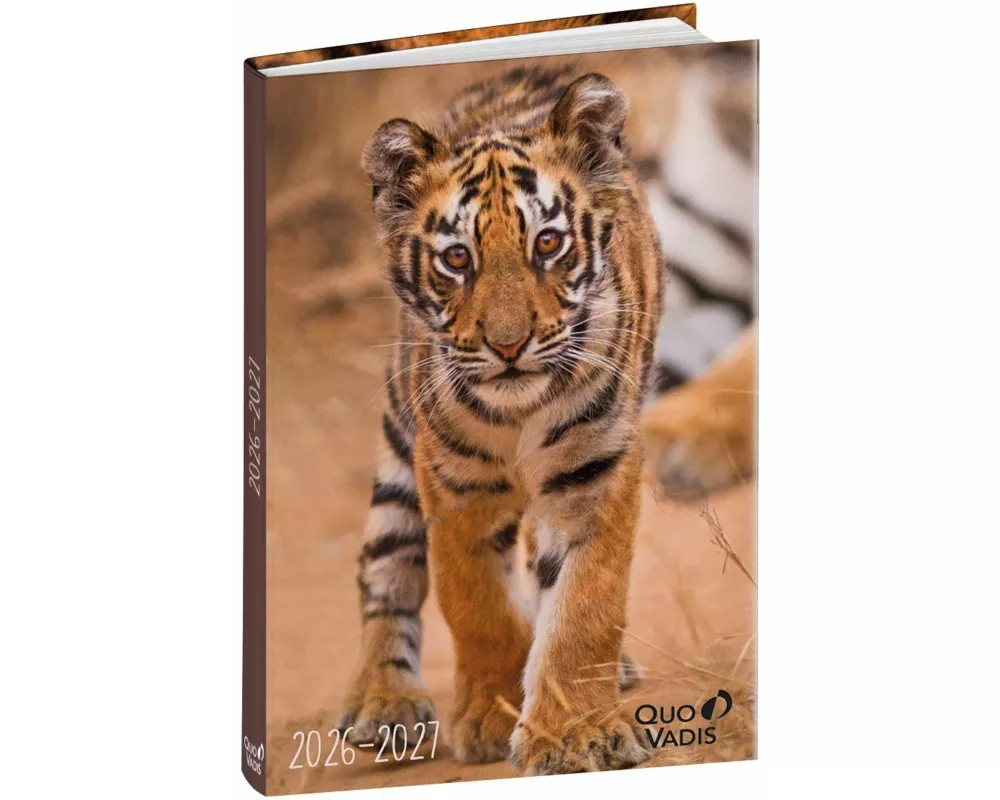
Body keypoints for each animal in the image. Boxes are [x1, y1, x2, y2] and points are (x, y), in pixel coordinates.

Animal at [336, 65, 663, 775]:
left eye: (549, 244)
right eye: (457, 258)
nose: (509, 345)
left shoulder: (597, 475)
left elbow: (586, 607)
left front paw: (572, 736)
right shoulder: (454, 487)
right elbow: (475, 603)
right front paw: (491, 716)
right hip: (400, 437)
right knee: (384, 564)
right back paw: (384, 702)